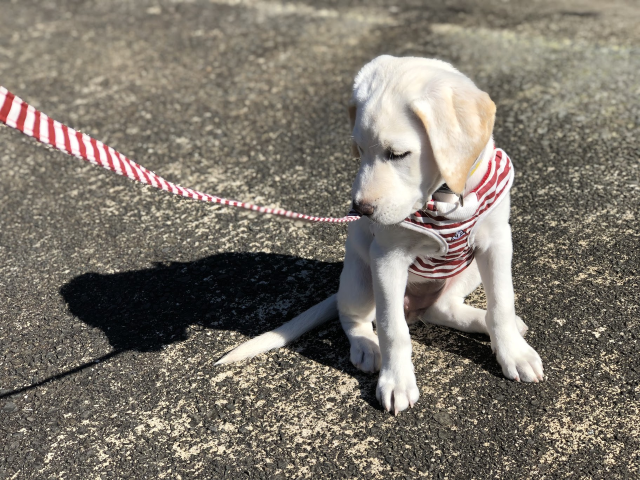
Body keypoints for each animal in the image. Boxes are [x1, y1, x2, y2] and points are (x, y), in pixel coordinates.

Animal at [216, 55, 543, 414]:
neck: (444, 197)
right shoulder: (387, 259)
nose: (360, 210)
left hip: (466, 269)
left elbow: (502, 302)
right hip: (361, 280)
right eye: (358, 150)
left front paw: (513, 351)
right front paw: (397, 381)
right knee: (353, 317)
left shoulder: (496, 242)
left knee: (440, 308)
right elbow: (392, 329)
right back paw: (366, 347)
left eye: (397, 154)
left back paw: (484, 322)